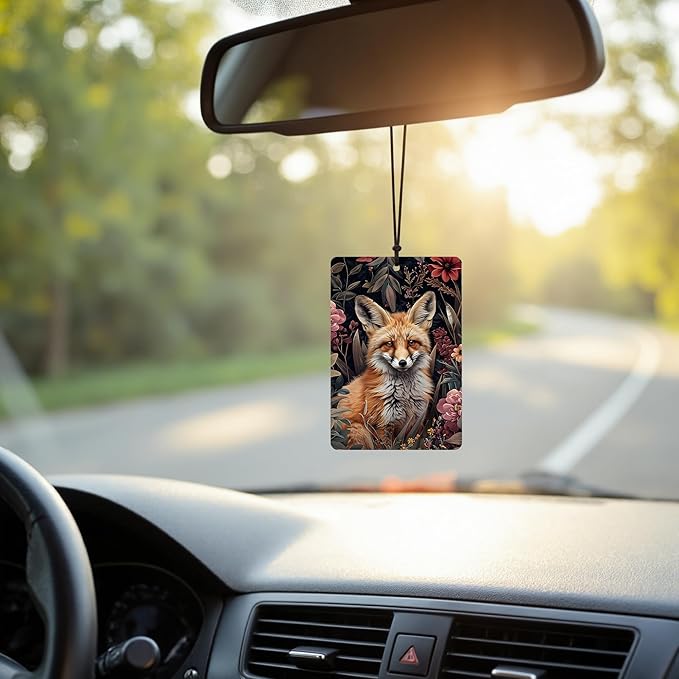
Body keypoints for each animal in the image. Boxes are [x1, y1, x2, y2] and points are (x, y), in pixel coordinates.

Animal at [338, 291, 436, 449]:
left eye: (411, 342)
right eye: (389, 344)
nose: (402, 362)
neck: (405, 396)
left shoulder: (417, 422)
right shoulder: (383, 425)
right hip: (360, 431)